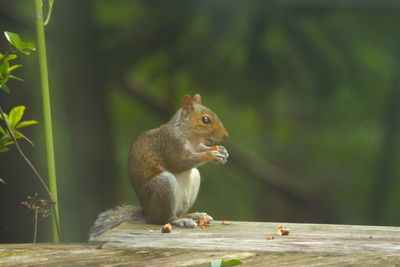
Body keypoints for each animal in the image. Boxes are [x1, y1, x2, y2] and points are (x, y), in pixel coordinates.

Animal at [89, 94, 230, 241]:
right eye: (205, 119)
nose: (225, 134)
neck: (190, 137)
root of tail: (148, 214)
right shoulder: (170, 145)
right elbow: (180, 163)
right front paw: (211, 155)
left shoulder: (197, 146)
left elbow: (202, 149)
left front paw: (222, 151)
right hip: (163, 185)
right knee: (165, 219)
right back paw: (181, 220)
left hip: (192, 182)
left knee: (178, 212)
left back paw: (193, 215)